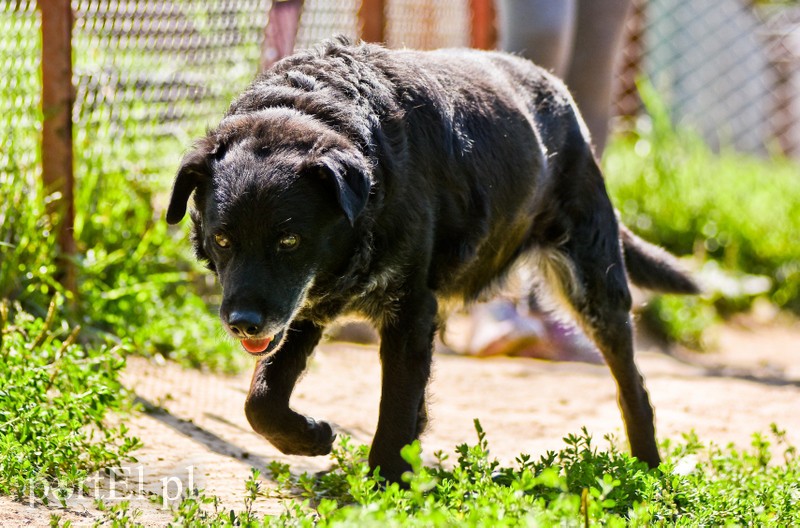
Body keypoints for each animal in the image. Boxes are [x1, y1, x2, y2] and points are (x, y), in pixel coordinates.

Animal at [166, 38, 696, 482]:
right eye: (223, 239)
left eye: (290, 241)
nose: (242, 322)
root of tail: (555, 88)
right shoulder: (306, 308)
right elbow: (262, 402)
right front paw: (310, 437)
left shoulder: (412, 311)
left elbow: (397, 410)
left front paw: (386, 492)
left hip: (594, 282)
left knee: (633, 384)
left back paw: (647, 470)